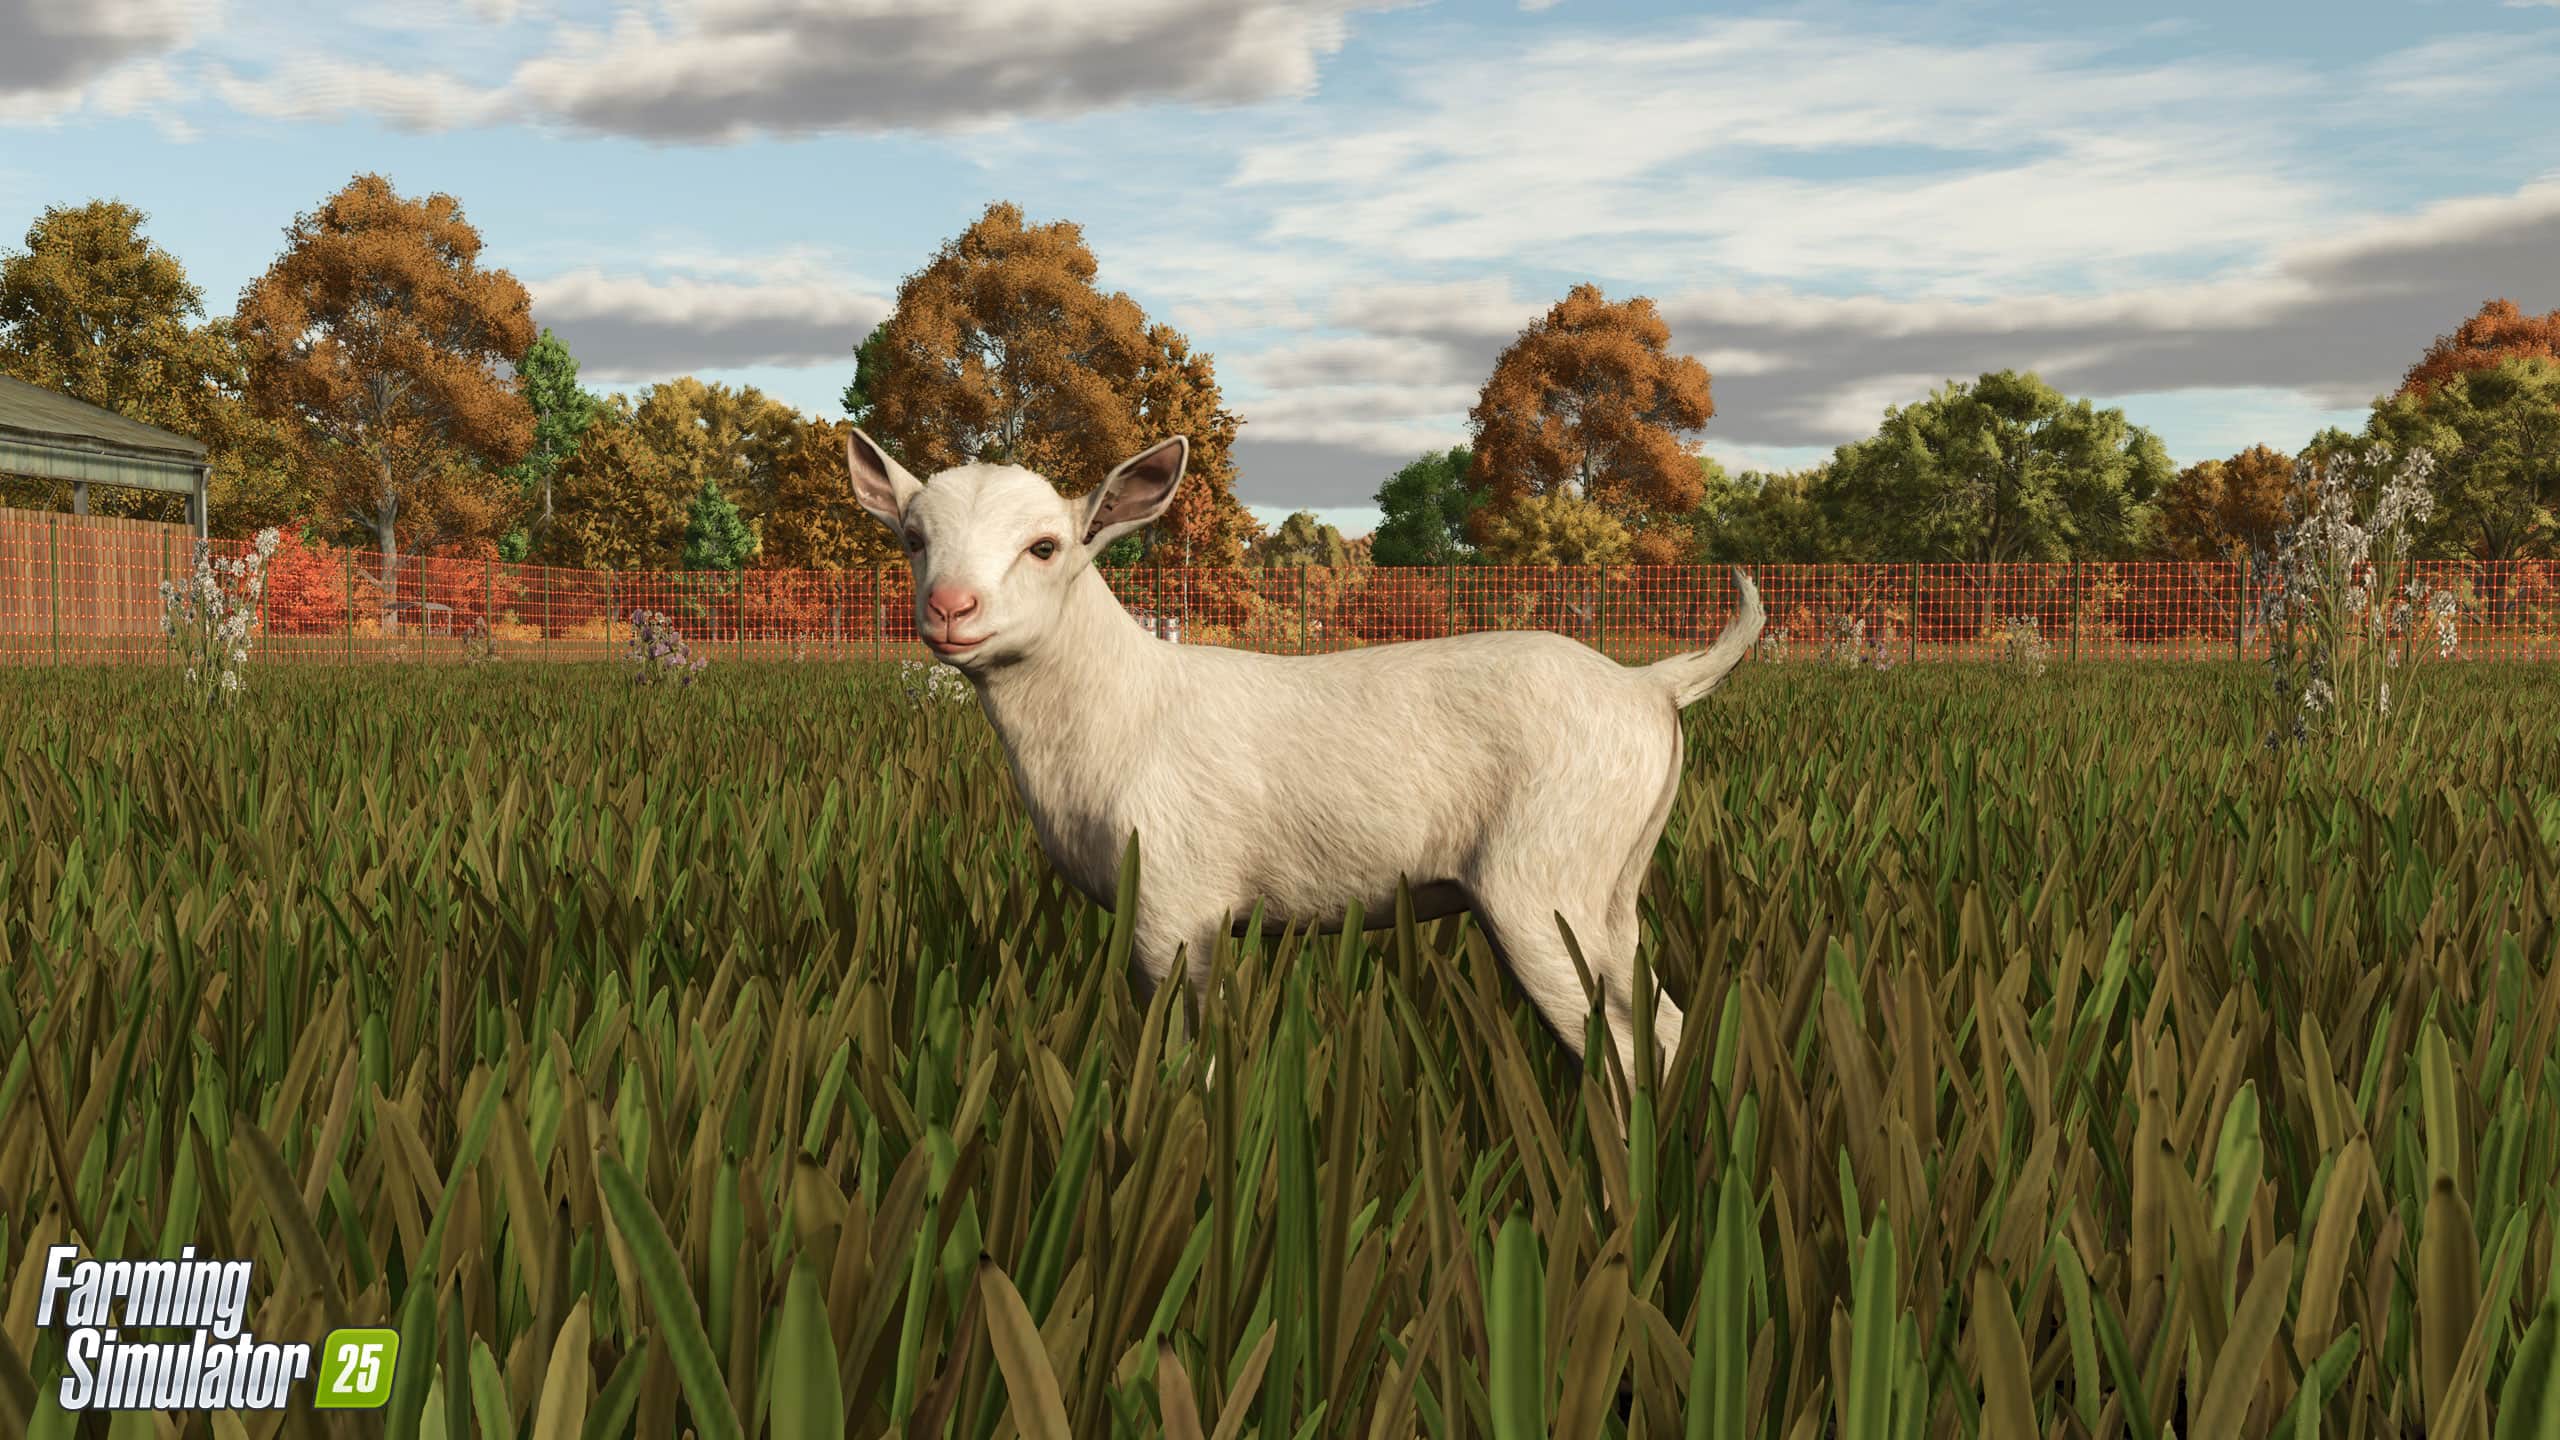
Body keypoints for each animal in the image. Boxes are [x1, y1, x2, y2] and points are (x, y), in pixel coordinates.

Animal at [846, 429, 1763, 1081]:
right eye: (914, 538)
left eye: (1044, 546)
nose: (950, 607)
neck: (1126, 706)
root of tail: (1653, 686)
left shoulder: (1179, 907)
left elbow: (1195, 1059)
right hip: (1611, 889)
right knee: (1660, 1025)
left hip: (1545, 882)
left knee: (1631, 1042)